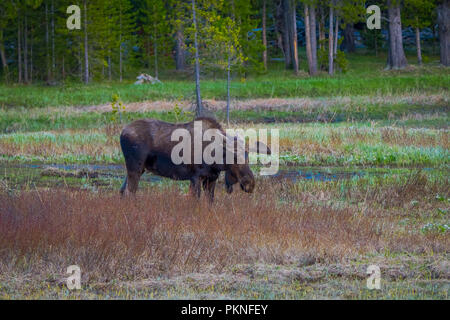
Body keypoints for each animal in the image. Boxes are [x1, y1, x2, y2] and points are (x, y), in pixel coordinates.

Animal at [118, 117, 270, 202]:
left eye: (248, 157)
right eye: (233, 157)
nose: (250, 183)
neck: (216, 161)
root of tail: (122, 132)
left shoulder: (211, 178)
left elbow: (210, 202)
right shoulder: (195, 176)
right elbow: (195, 200)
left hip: (138, 169)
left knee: (122, 191)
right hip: (135, 167)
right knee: (129, 192)